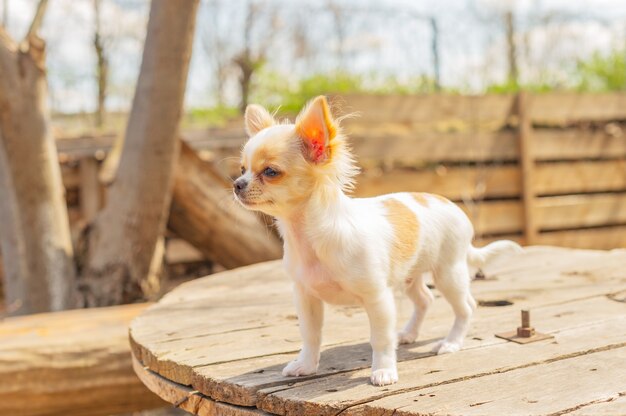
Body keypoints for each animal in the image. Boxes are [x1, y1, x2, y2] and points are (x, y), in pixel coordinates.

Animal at [232, 95, 520, 386]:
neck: (308, 237)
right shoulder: (306, 296)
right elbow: (310, 335)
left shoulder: (377, 298)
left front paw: (383, 371)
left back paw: (451, 343)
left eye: (270, 172)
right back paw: (408, 334)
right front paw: (305, 365)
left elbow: (380, 339)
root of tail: (450, 204)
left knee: (466, 307)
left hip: (448, 274)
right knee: (425, 300)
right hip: (411, 277)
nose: (236, 184)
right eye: (242, 169)